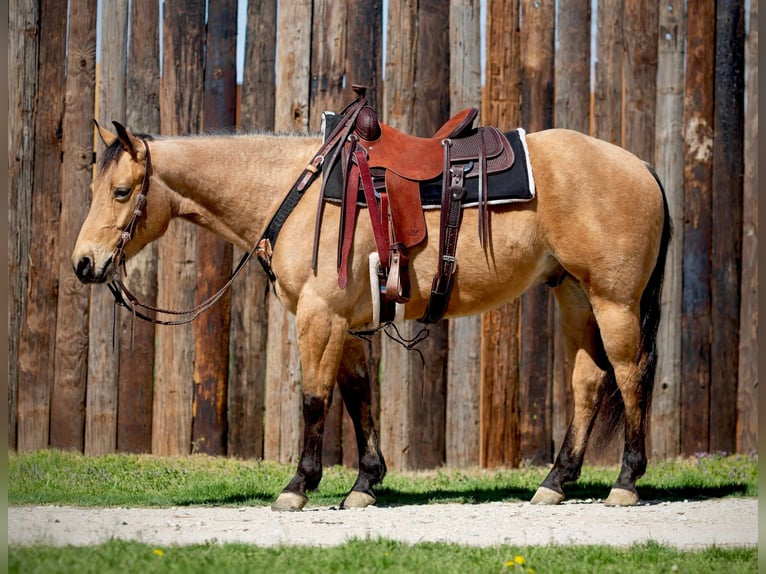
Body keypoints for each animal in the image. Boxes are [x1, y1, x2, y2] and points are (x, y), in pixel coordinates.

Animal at [72, 93, 672, 512]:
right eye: (95, 189)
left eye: (121, 192)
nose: (84, 263)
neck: (295, 191)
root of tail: (641, 166)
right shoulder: (350, 323)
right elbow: (359, 397)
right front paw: (364, 483)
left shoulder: (320, 315)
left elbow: (315, 399)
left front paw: (298, 485)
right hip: (573, 294)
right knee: (589, 381)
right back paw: (555, 482)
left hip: (614, 300)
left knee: (630, 374)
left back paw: (625, 482)